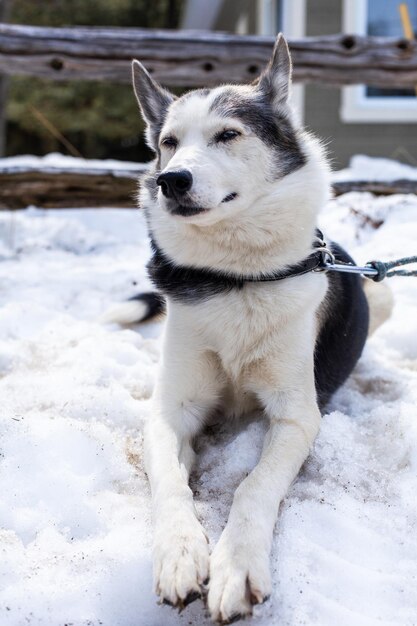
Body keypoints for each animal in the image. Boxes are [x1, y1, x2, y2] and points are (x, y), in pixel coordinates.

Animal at [106, 34, 390, 624]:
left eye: (228, 135)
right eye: (168, 143)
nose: (171, 180)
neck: (236, 277)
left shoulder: (296, 415)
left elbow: (254, 485)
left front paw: (236, 566)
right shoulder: (171, 410)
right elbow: (170, 481)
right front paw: (180, 555)